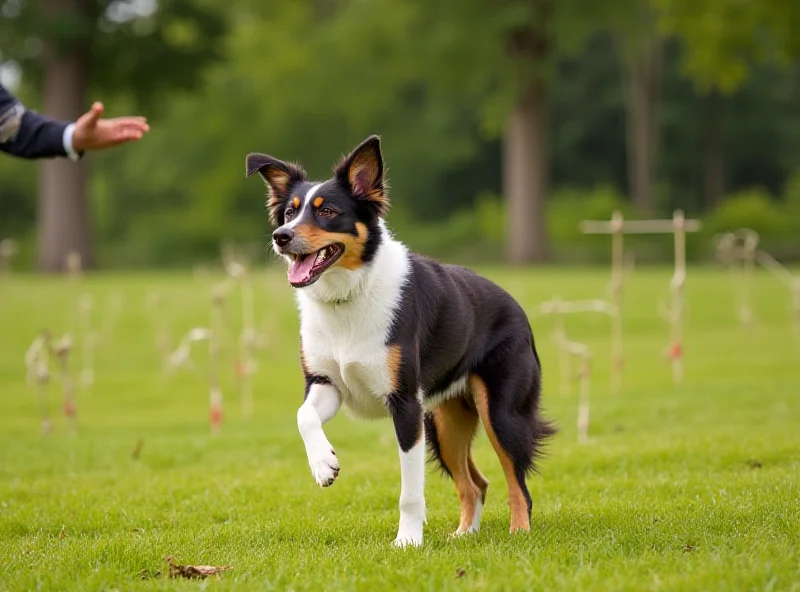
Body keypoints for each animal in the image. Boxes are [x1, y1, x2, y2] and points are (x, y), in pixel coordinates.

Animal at [245, 136, 556, 548]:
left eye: (327, 210)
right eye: (289, 213)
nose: (281, 237)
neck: (348, 298)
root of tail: (515, 305)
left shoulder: (405, 404)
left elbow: (410, 491)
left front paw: (408, 542)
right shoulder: (327, 385)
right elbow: (303, 416)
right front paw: (324, 465)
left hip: (501, 413)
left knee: (517, 483)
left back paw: (518, 532)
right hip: (444, 422)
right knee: (476, 484)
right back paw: (462, 535)